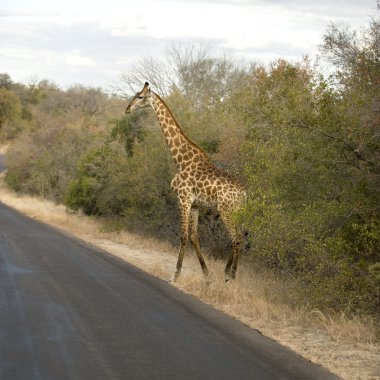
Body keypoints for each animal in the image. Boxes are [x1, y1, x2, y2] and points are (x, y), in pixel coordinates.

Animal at [126, 82, 248, 282]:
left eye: (140, 97)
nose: (127, 109)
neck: (180, 159)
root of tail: (244, 193)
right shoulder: (196, 204)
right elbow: (193, 236)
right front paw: (207, 275)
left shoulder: (183, 199)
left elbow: (183, 235)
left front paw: (175, 275)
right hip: (236, 211)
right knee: (239, 236)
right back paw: (226, 272)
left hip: (226, 209)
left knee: (236, 238)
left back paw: (231, 276)